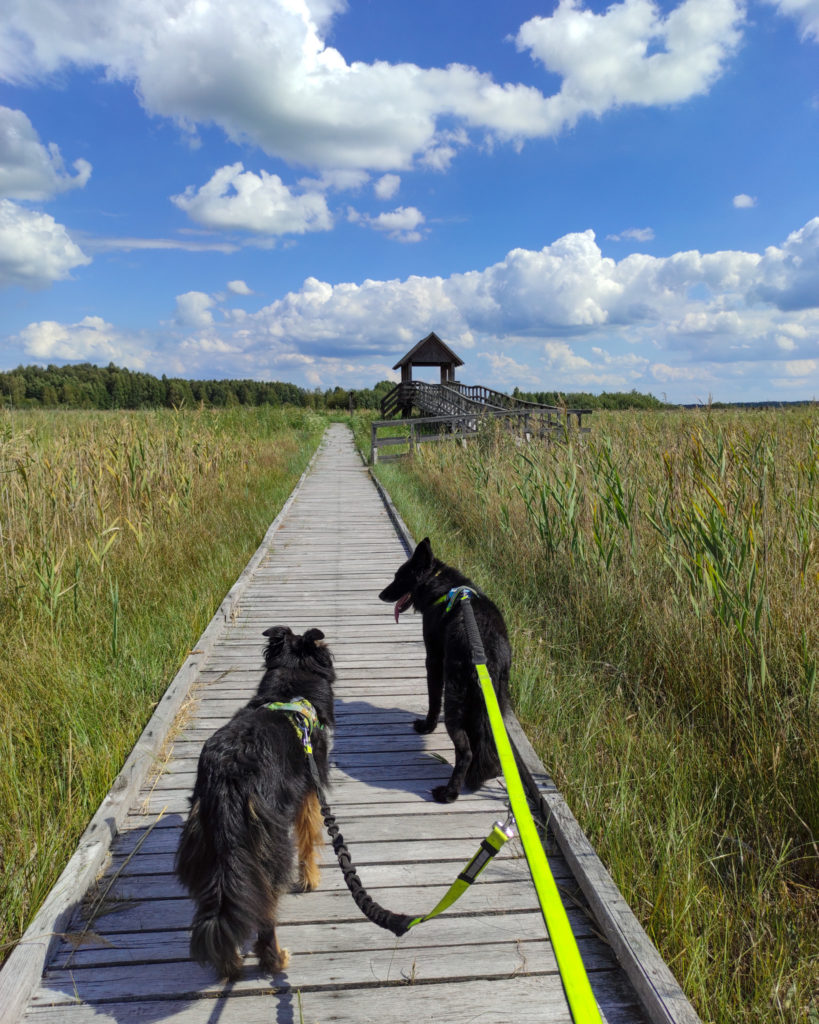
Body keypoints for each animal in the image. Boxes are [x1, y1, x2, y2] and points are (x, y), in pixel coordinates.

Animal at [174, 626, 333, 978]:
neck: (289, 690)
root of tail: (227, 776)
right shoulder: (309, 791)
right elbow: (309, 837)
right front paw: (311, 880)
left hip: (208, 847)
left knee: (222, 906)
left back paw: (228, 964)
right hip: (268, 848)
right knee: (264, 911)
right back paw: (275, 960)